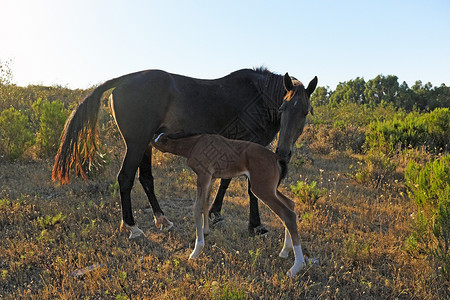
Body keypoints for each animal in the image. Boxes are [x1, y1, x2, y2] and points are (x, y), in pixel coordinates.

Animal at [152, 133, 306, 276]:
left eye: (157, 141)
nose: (149, 142)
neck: (194, 144)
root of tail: (276, 158)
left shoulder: (203, 175)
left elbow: (197, 208)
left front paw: (196, 250)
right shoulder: (211, 178)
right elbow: (206, 203)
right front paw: (205, 231)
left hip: (262, 189)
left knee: (288, 215)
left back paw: (296, 267)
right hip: (270, 188)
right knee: (290, 204)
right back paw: (285, 250)